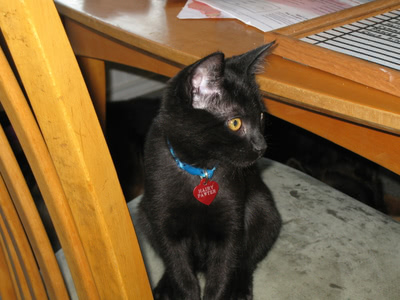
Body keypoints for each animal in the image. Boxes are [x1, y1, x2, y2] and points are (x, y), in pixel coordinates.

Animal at [138, 42, 282, 300]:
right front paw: (182, 289)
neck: (199, 170)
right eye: (235, 123)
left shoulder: (231, 222)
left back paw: (239, 287)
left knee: (247, 259)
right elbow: (179, 269)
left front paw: (222, 290)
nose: (262, 146)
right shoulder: (162, 219)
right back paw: (165, 285)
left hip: (263, 209)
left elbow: (223, 270)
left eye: (261, 116)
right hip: (144, 213)